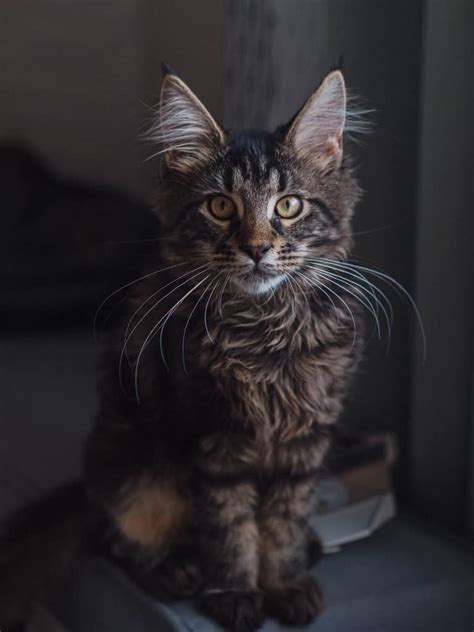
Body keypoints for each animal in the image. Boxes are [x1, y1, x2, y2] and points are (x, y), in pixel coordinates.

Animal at [0, 65, 366, 632]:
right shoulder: (212, 441)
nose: (257, 249)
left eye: (288, 206)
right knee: (113, 540)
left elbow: (282, 523)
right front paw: (236, 594)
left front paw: (284, 583)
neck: (264, 334)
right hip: (132, 469)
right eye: (220, 206)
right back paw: (177, 569)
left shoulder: (304, 445)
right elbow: (232, 529)